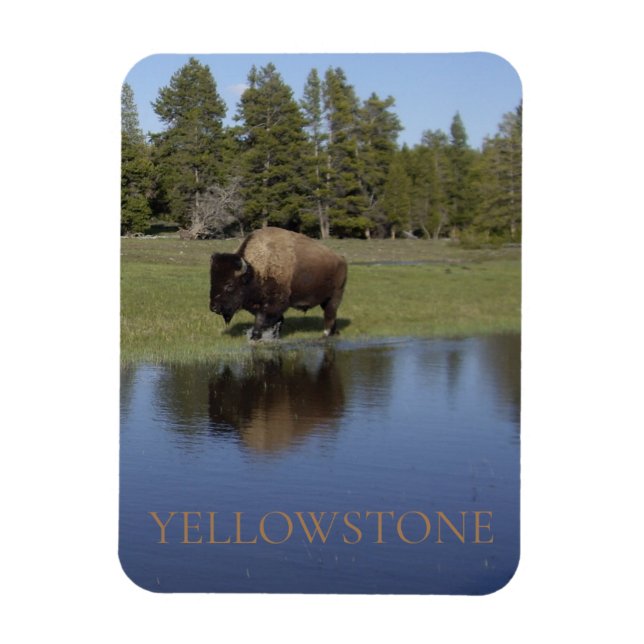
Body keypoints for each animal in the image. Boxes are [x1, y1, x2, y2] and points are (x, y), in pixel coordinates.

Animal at [210, 227, 348, 340]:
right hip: (326, 300)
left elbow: (262, 319)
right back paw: (334, 333)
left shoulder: (273, 304)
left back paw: (324, 335)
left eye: (229, 285)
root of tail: (341, 259)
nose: (214, 307)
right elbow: (276, 321)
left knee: (329, 314)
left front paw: (255, 337)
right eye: (212, 281)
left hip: (335, 296)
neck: (255, 270)